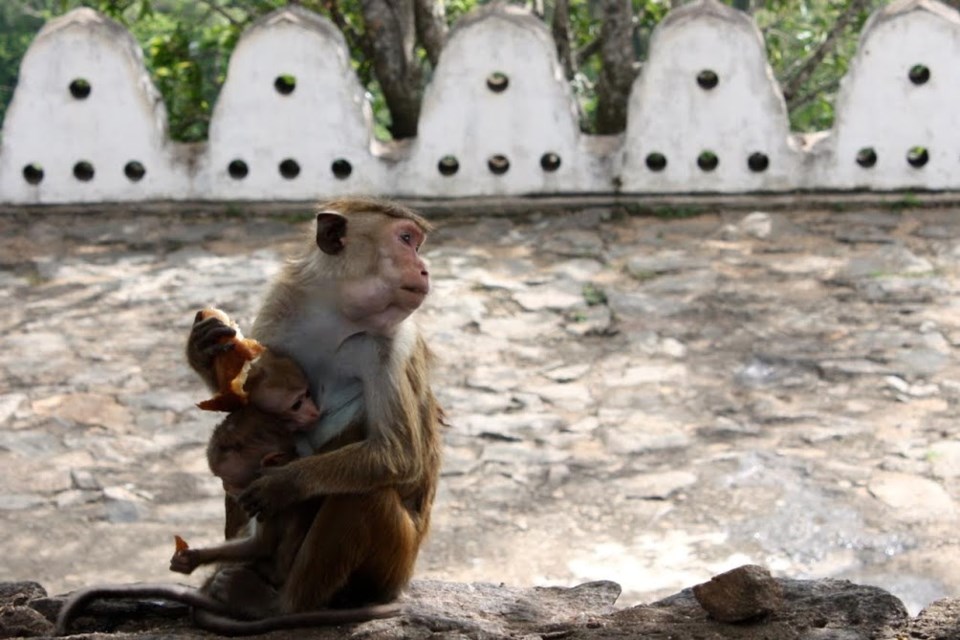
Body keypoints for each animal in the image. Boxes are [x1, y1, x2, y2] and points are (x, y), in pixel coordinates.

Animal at [187, 196, 442, 616]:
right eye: (406, 240)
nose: (424, 268)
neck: (339, 317)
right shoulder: (280, 311)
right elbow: (242, 405)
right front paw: (205, 350)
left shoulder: (390, 343)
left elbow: (398, 453)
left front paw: (284, 482)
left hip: (394, 565)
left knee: (363, 492)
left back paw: (278, 605)